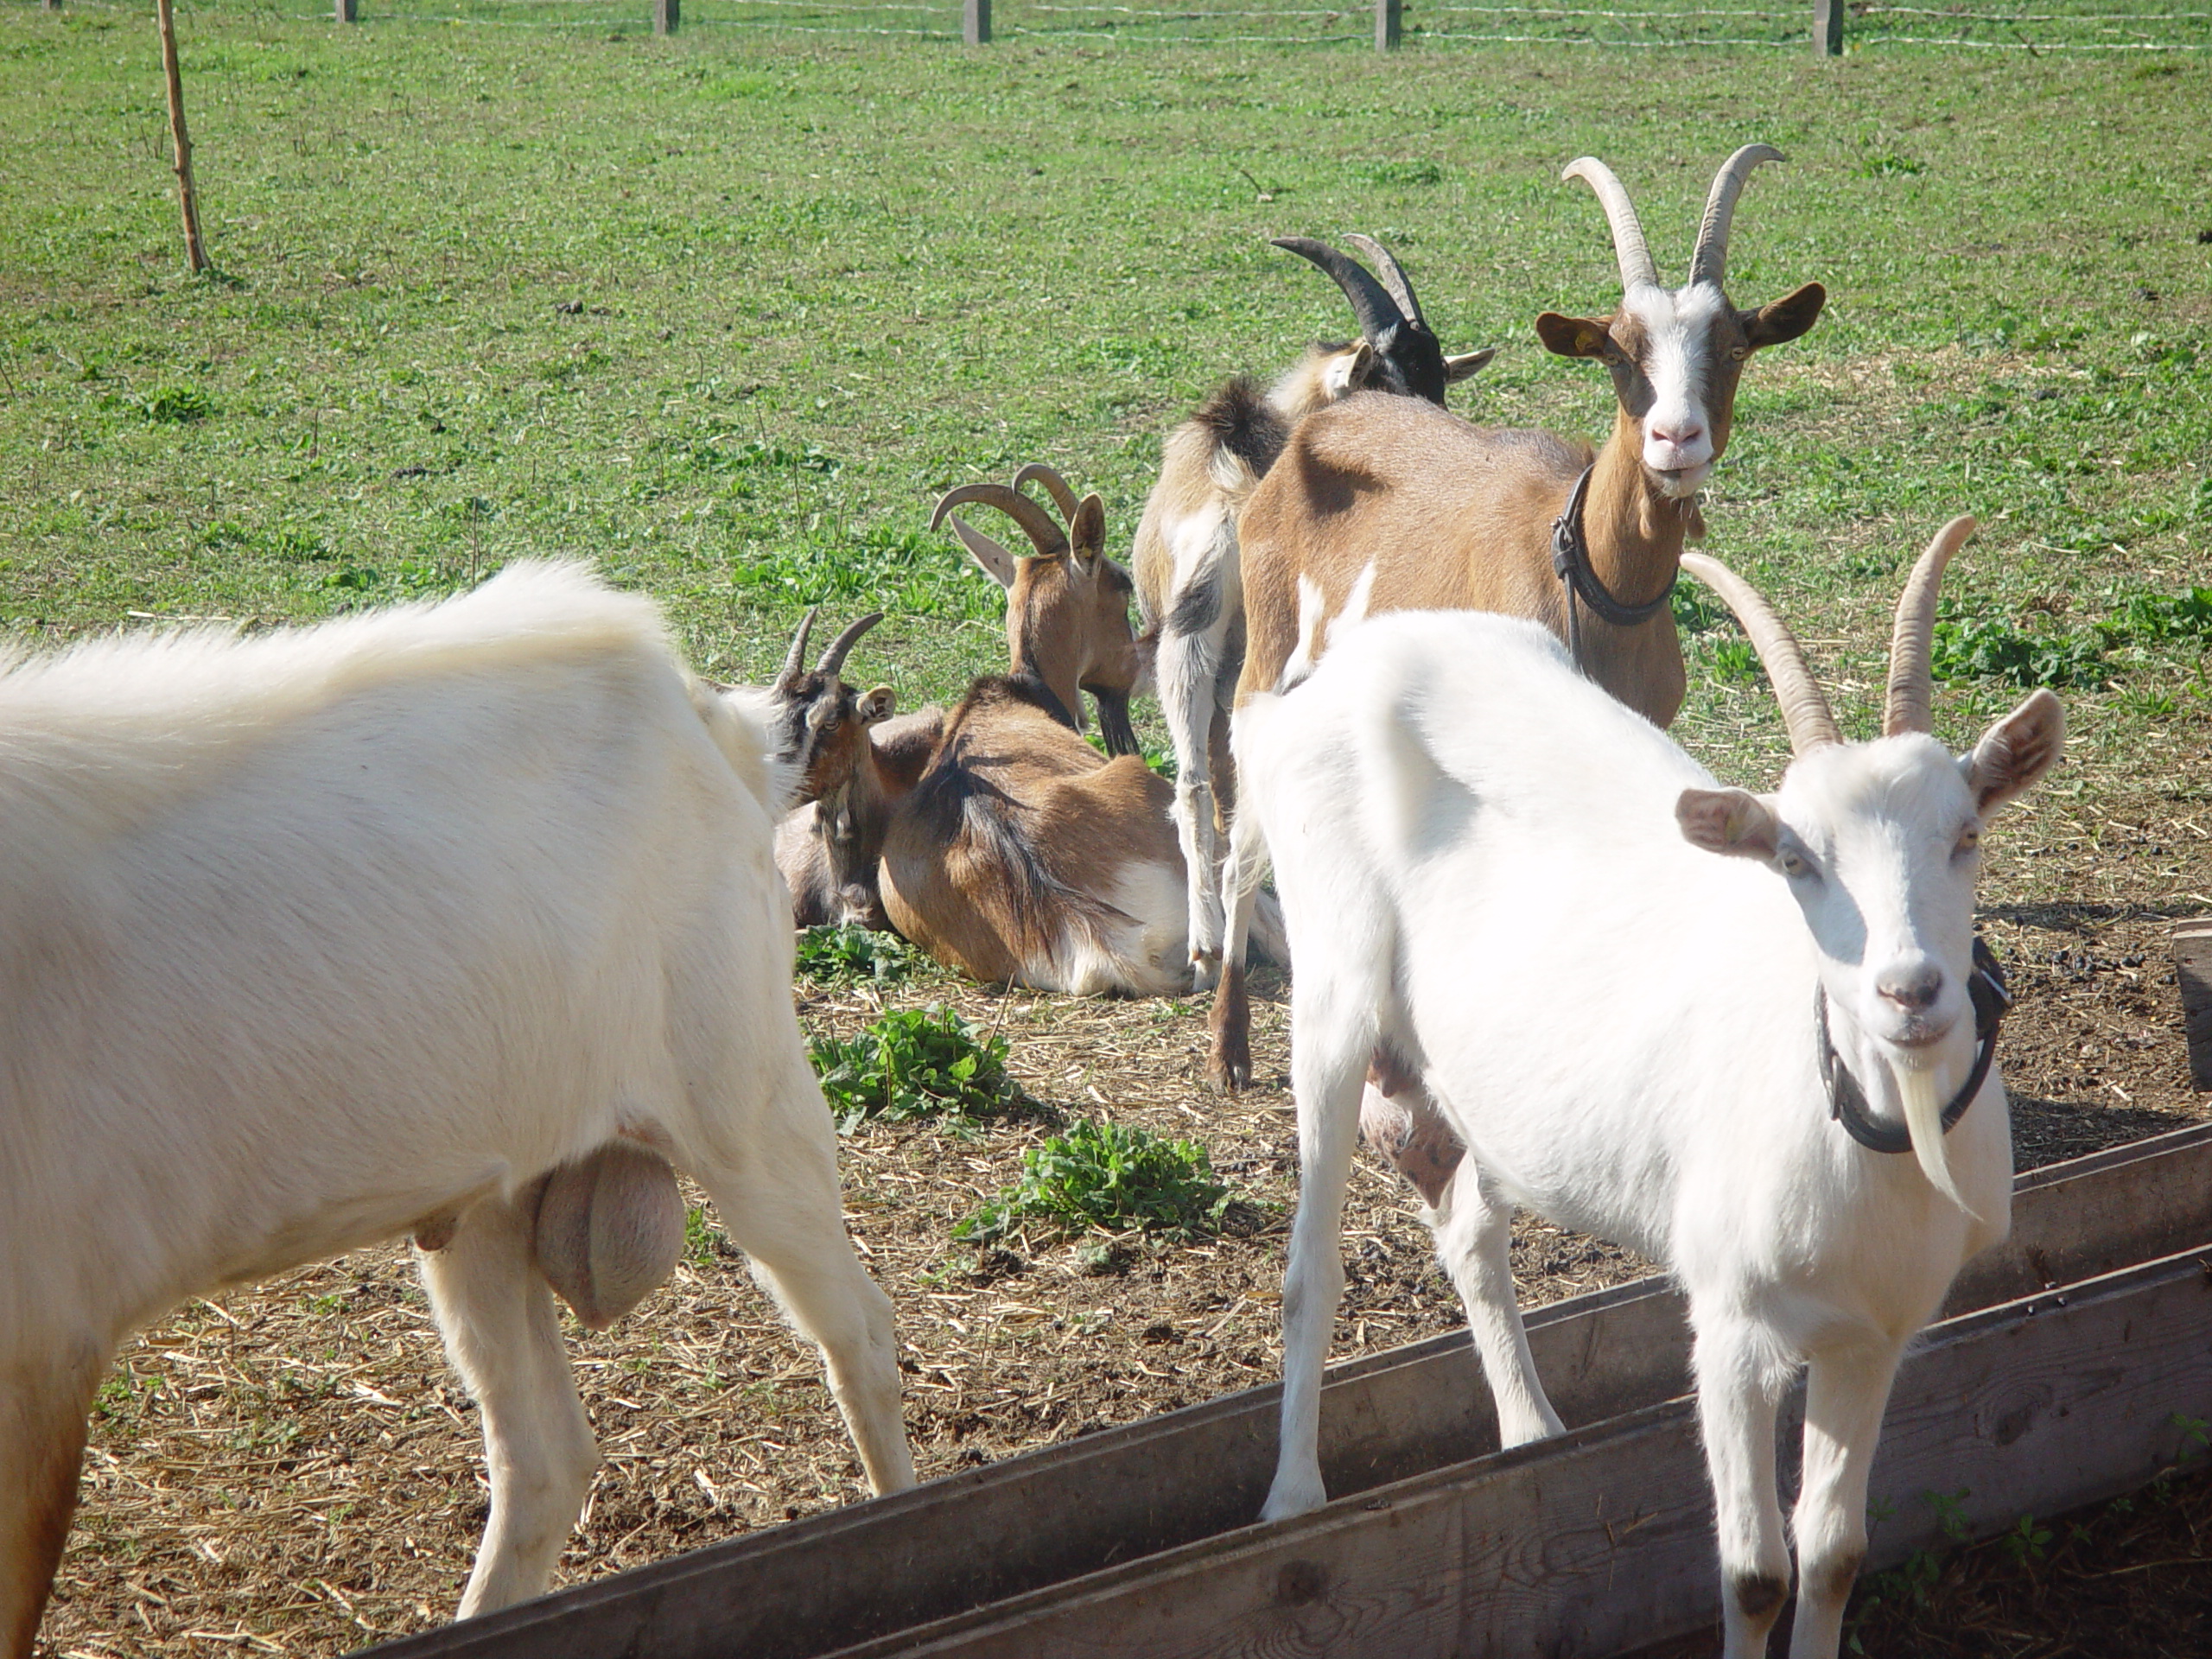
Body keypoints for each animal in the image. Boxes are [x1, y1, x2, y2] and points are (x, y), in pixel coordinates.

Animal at [0, 566, 915, 1654]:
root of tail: (704, 714)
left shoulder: (46, 1356)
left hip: (749, 1112)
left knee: (859, 1331)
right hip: (492, 1197)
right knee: (546, 1459)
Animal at [1211, 149, 1831, 1092]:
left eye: (1732, 348)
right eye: (1618, 351)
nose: (1676, 438)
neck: (1583, 572)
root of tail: (1318, 428)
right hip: (1267, 665)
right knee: (1242, 844)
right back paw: (1231, 1047)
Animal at [1238, 519, 2061, 1659]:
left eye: (1966, 833)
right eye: (1795, 858)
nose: (1909, 992)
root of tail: (1342, 669)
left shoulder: (1871, 1336)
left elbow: (1834, 1557)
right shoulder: (1729, 1324)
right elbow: (1754, 1573)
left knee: (1468, 1228)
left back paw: (1532, 1430)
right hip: (1329, 987)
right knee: (1309, 1264)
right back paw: (1292, 1502)